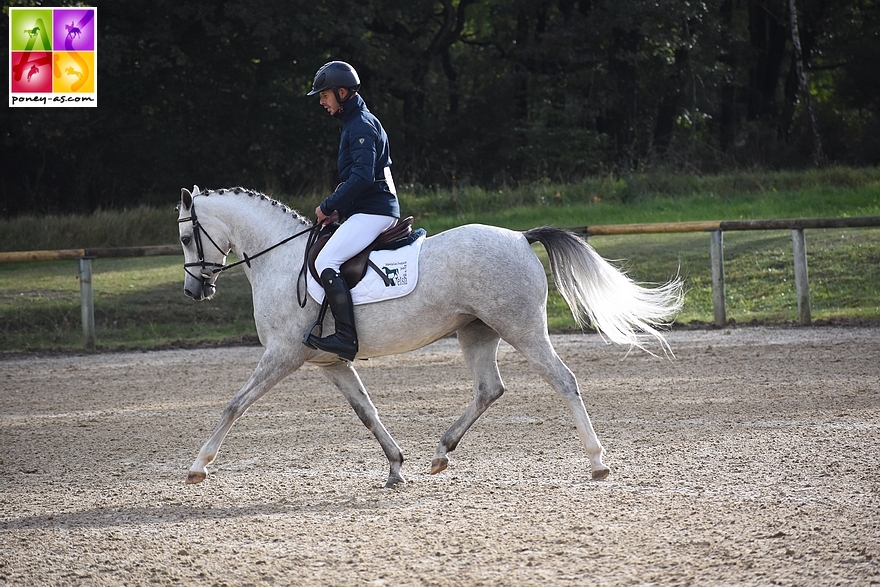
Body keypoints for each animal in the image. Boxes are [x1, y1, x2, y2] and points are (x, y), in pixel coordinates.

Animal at [179, 187, 684, 486]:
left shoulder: (283, 354)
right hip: (476, 332)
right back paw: (441, 452)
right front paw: (396, 467)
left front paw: (198, 466)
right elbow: (367, 412)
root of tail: (520, 236)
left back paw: (597, 461)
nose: (194, 290)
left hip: (521, 328)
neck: (281, 260)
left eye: (186, 237)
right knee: (489, 389)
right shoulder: (332, 362)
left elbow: (234, 405)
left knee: (563, 381)